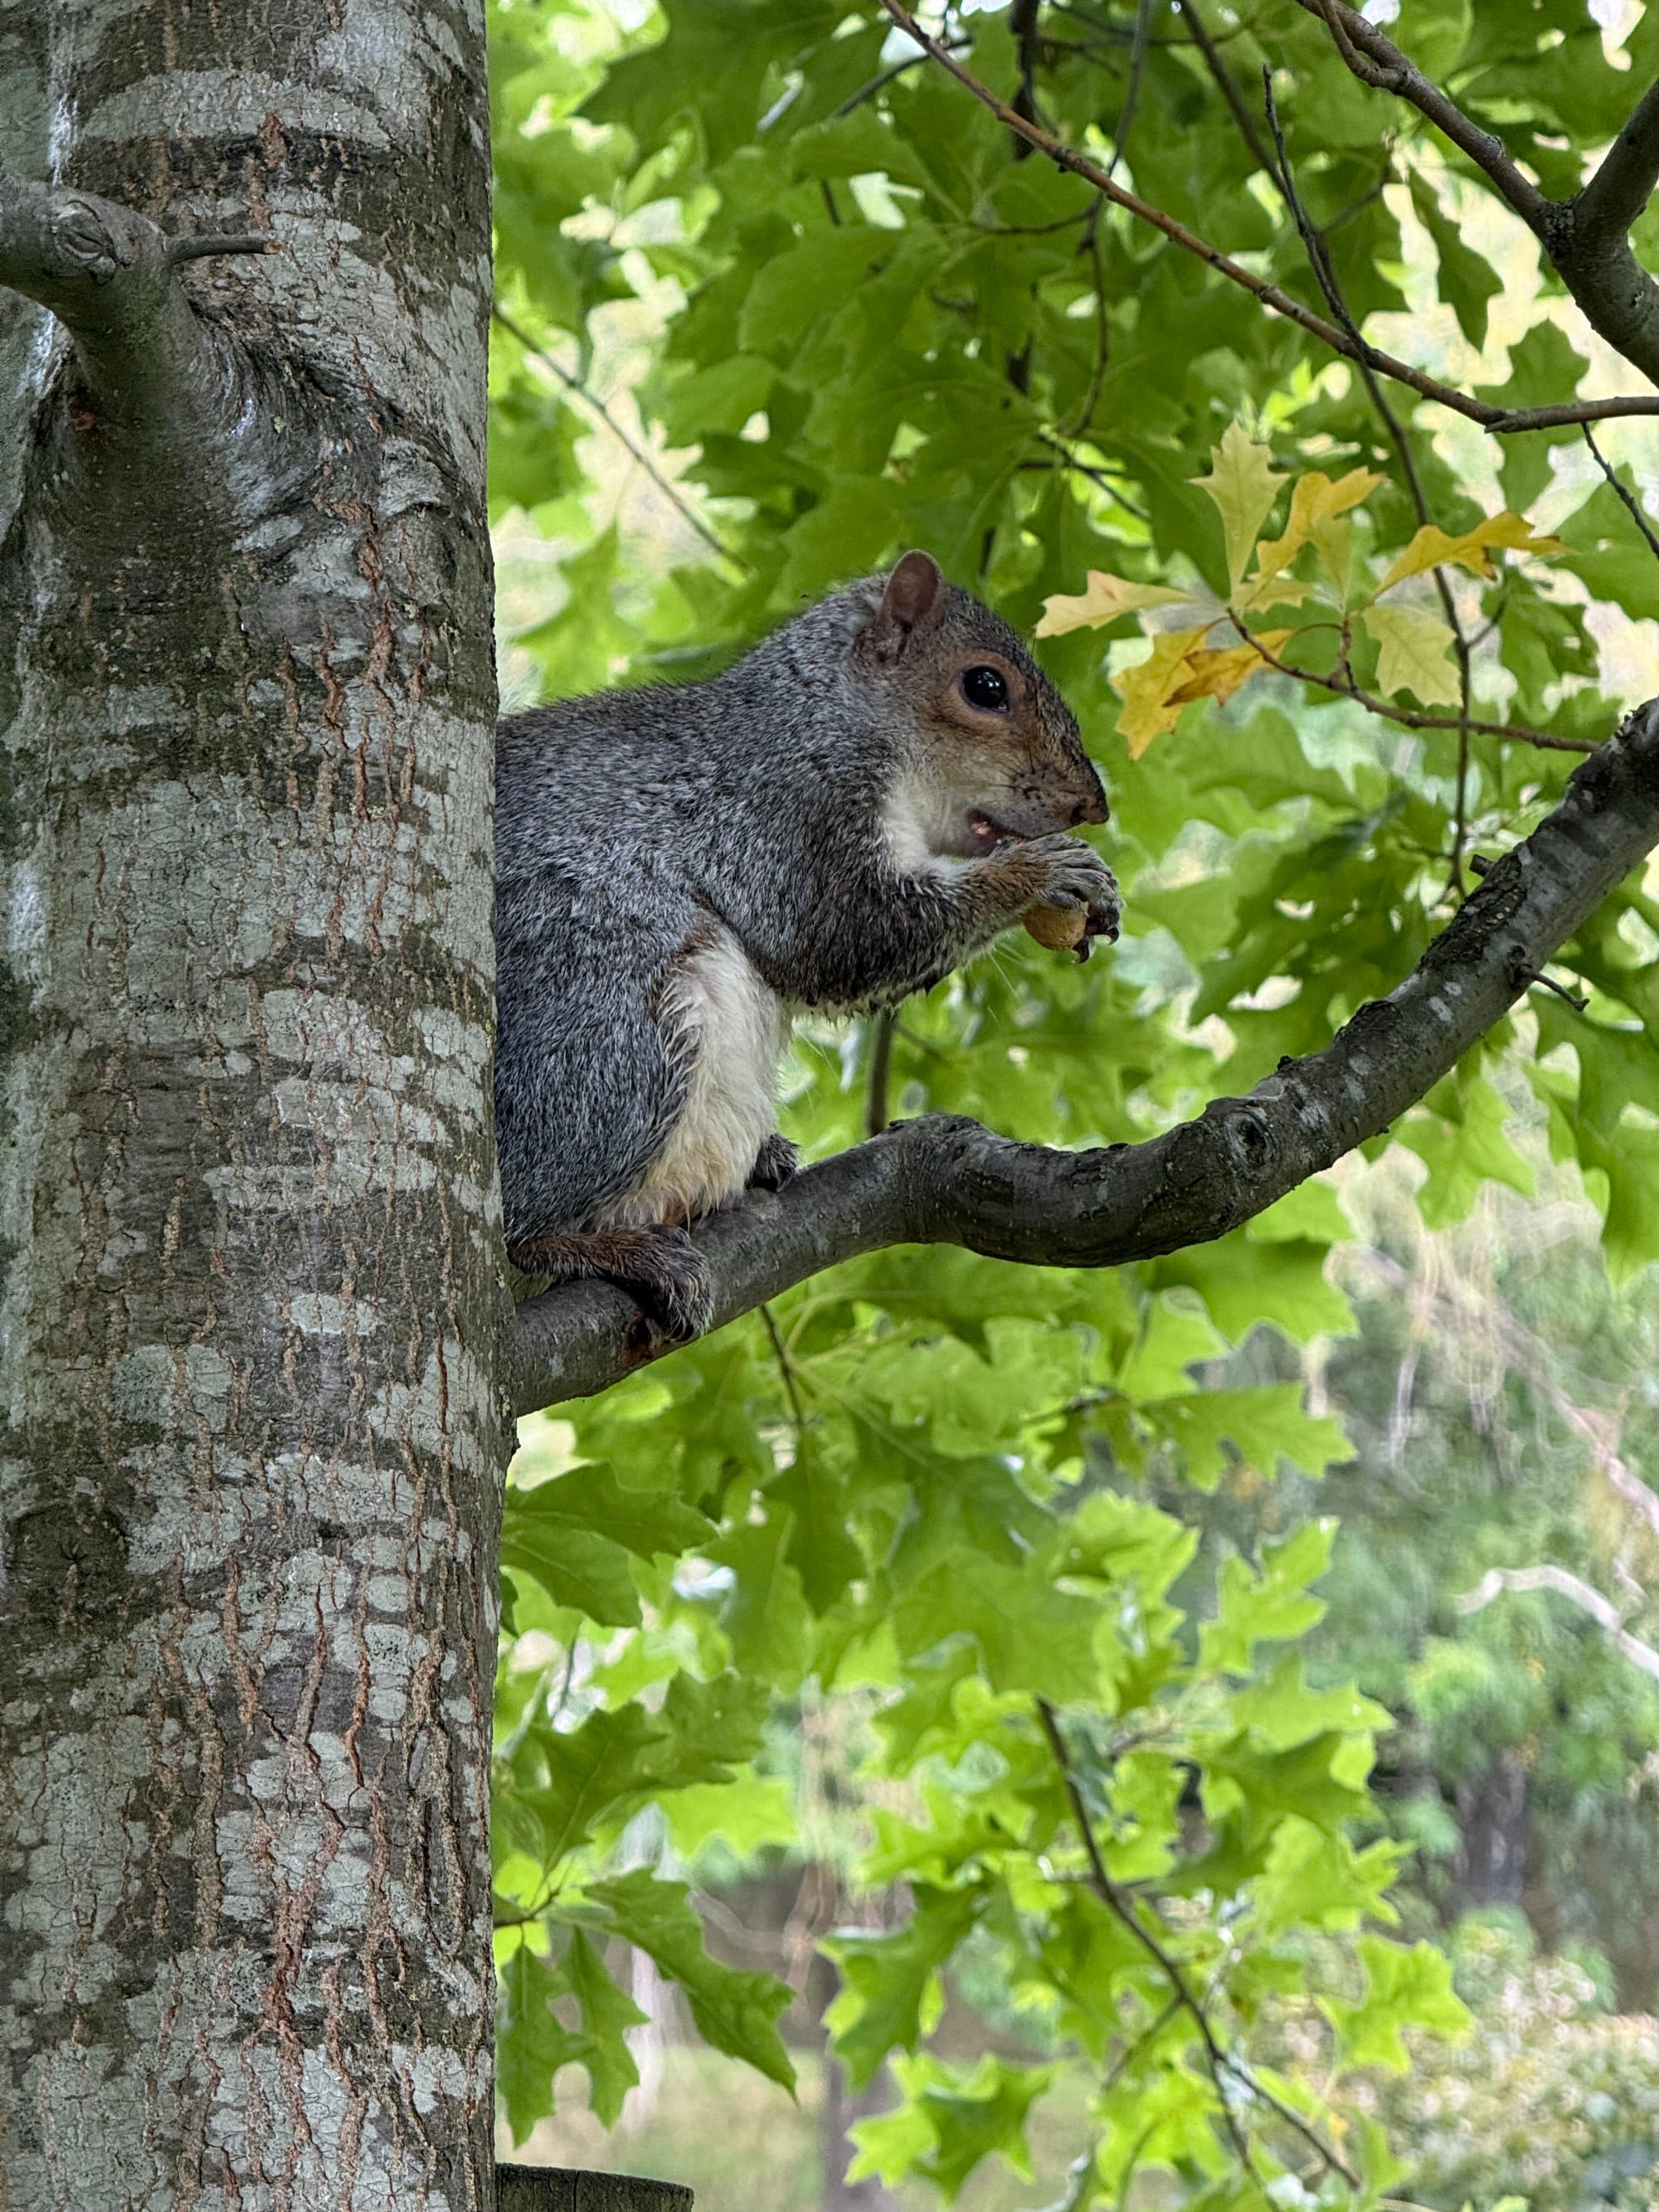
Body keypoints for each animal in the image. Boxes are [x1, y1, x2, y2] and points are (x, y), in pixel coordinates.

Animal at [494, 550, 1119, 1341]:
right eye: (985, 686)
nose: (1090, 803)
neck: (825, 714)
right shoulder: (788, 817)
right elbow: (840, 935)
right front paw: (1041, 873)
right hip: (606, 1041)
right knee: (525, 1217)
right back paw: (611, 1248)